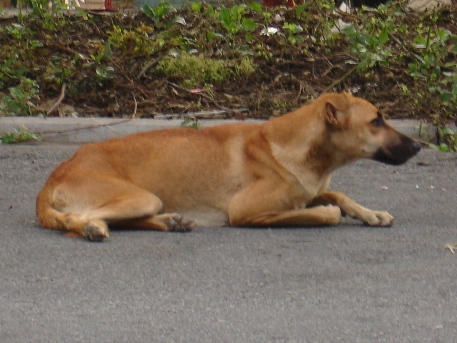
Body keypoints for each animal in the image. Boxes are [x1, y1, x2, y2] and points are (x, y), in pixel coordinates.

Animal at [35, 92, 420, 242]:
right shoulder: (246, 211)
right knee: (76, 219)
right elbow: (323, 213)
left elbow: (338, 195)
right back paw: (93, 228)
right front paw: (328, 212)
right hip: (140, 196)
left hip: (145, 199)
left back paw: (170, 222)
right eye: (376, 122)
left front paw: (371, 213)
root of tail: (55, 174)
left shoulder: (312, 188)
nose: (419, 146)